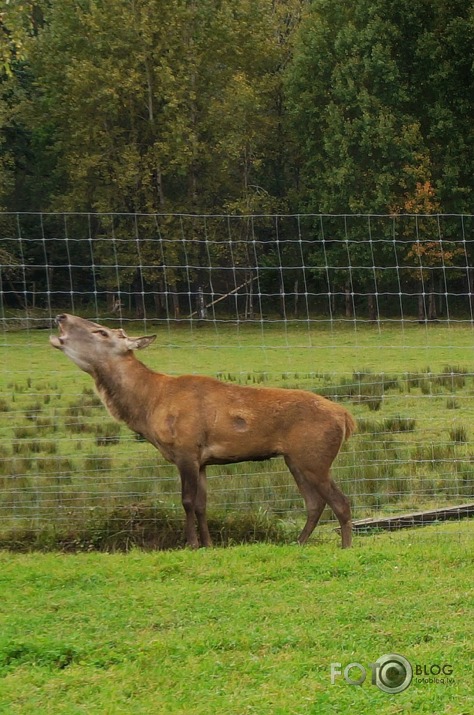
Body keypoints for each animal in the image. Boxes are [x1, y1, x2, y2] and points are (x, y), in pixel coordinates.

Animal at [51, 312, 356, 548]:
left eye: (101, 331)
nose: (61, 316)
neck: (149, 406)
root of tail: (345, 416)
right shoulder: (202, 461)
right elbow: (202, 504)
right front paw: (209, 543)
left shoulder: (186, 449)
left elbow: (186, 500)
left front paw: (191, 543)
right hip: (295, 459)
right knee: (314, 502)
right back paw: (299, 542)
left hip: (314, 456)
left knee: (341, 501)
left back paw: (345, 546)